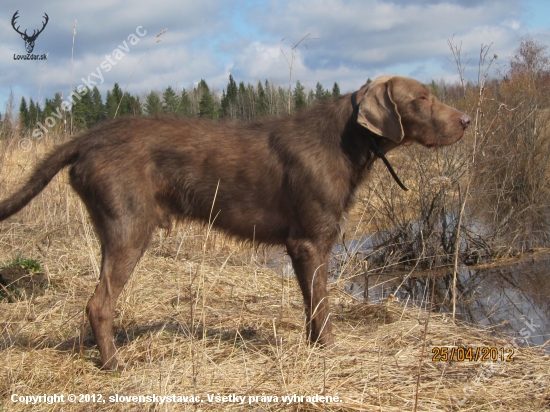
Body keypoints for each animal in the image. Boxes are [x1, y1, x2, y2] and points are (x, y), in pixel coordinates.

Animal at [2, 75, 472, 368]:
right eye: (422, 98)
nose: (467, 120)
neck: (344, 142)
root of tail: (84, 139)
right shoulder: (310, 241)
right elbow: (322, 307)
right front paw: (330, 349)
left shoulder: (303, 247)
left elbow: (311, 305)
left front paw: (313, 347)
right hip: (129, 230)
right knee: (99, 303)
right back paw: (114, 365)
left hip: (113, 230)